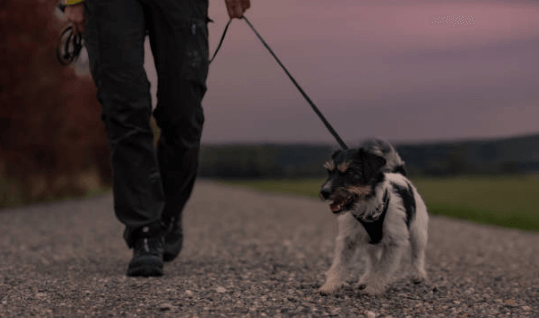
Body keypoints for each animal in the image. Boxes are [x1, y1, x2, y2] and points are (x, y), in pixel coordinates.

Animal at [318, 139, 428, 296]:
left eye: (350, 172)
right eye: (329, 171)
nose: (324, 192)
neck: (367, 208)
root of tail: (399, 174)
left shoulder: (394, 242)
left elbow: (383, 268)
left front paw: (373, 289)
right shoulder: (346, 239)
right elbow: (339, 264)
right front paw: (330, 285)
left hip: (418, 230)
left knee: (417, 252)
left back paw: (418, 274)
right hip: (372, 242)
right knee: (373, 261)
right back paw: (366, 279)